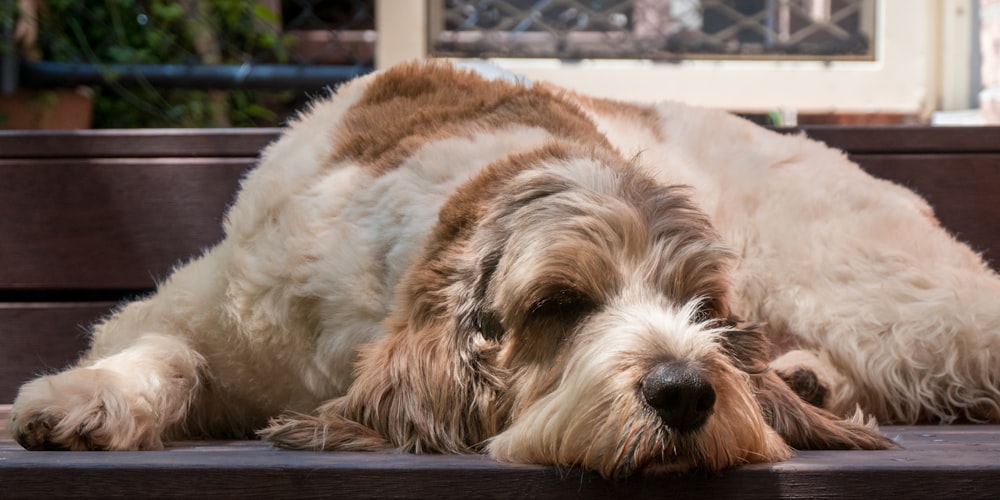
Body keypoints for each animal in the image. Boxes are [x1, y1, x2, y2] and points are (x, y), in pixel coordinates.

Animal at [9, 60, 1000, 478]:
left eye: (702, 305)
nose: (686, 392)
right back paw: (808, 380)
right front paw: (82, 400)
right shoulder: (208, 310)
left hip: (885, 299)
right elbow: (164, 349)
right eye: (560, 302)